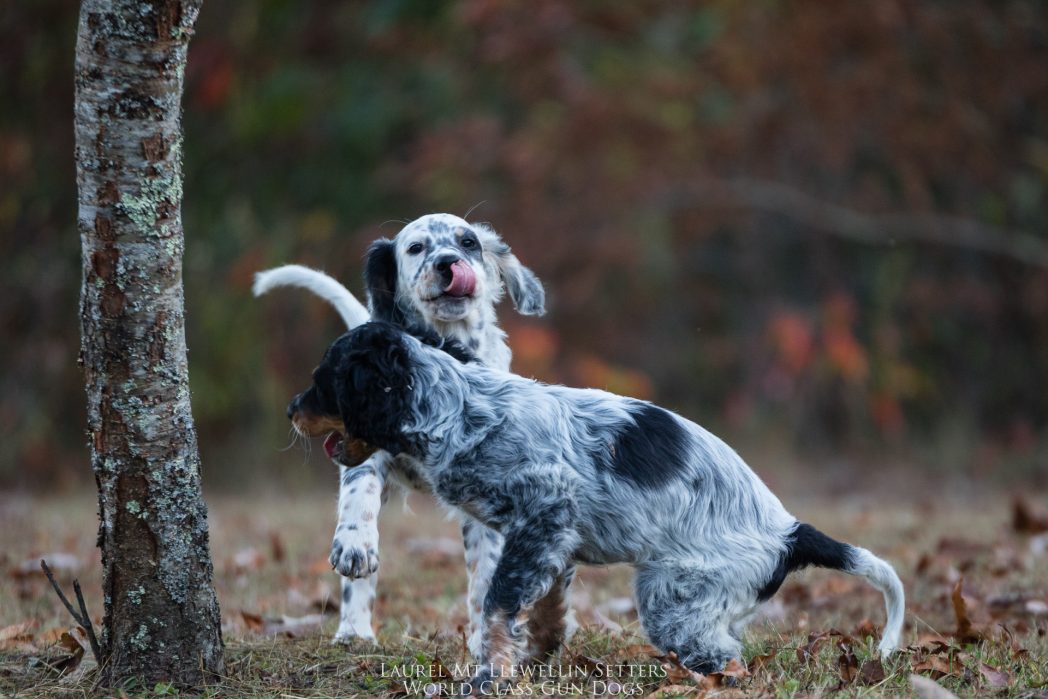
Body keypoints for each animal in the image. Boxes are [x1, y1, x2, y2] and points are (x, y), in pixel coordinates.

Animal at [252, 211, 557, 649]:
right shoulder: (362, 443)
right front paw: (354, 544)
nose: (448, 262)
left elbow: (486, 570)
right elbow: (358, 495)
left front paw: (487, 638)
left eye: (468, 243)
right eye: (415, 248)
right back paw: (354, 631)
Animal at [289, 324, 909, 687]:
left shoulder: (545, 510)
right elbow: (540, 607)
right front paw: (533, 654)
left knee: (729, 661)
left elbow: (496, 605)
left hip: (674, 599)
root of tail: (789, 531)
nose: (293, 409)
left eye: (324, 380)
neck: (461, 408)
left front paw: (491, 674)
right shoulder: (549, 539)